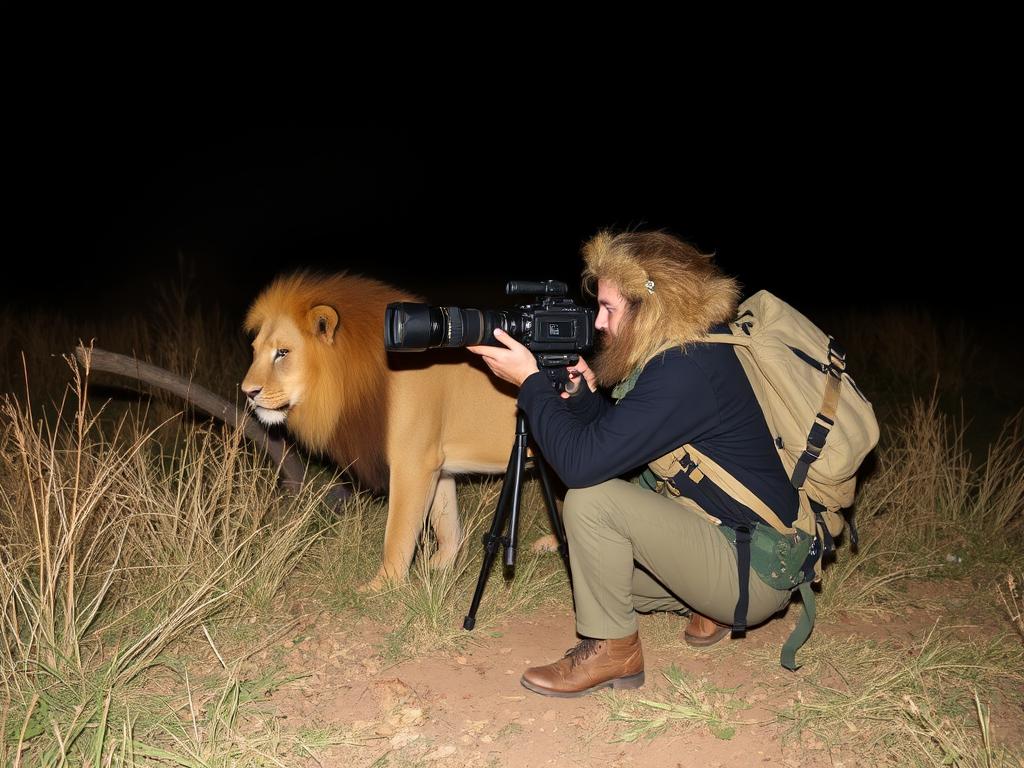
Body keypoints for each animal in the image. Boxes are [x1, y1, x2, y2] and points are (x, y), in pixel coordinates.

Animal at [241, 272, 520, 589]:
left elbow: (398, 532)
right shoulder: (438, 462)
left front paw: (382, 585)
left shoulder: (414, 462)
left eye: (283, 353)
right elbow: (446, 522)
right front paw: (442, 566)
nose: (248, 392)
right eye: (255, 351)